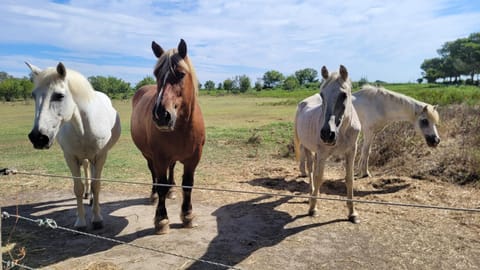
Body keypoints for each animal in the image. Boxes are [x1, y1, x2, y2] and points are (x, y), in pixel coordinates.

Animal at [25, 62, 122, 231]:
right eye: (33, 95)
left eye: (59, 95)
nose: (38, 137)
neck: (84, 127)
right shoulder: (70, 158)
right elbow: (78, 188)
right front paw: (81, 221)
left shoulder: (100, 157)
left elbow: (97, 186)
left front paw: (97, 219)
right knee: (86, 171)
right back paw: (86, 198)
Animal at [130, 39, 205, 235]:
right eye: (156, 74)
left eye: (180, 74)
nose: (160, 115)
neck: (183, 127)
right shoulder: (159, 157)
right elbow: (161, 184)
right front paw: (161, 220)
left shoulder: (193, 159)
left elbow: (188, 185)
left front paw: (187, 216)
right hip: (148, 156)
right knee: (154, 174)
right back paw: (154, 194)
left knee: (171, 169)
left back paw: (172, 191)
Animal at [292, 65, 360, 224]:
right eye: (322, 95)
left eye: (344, 95)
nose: (327, 134)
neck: (342, 131)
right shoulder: (323, 153)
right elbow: (318, 177)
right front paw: (313, 209)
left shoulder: (351, 151)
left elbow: (349, 179)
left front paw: (352, 213)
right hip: (307, 148)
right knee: (310, 170)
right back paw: (310, 195)